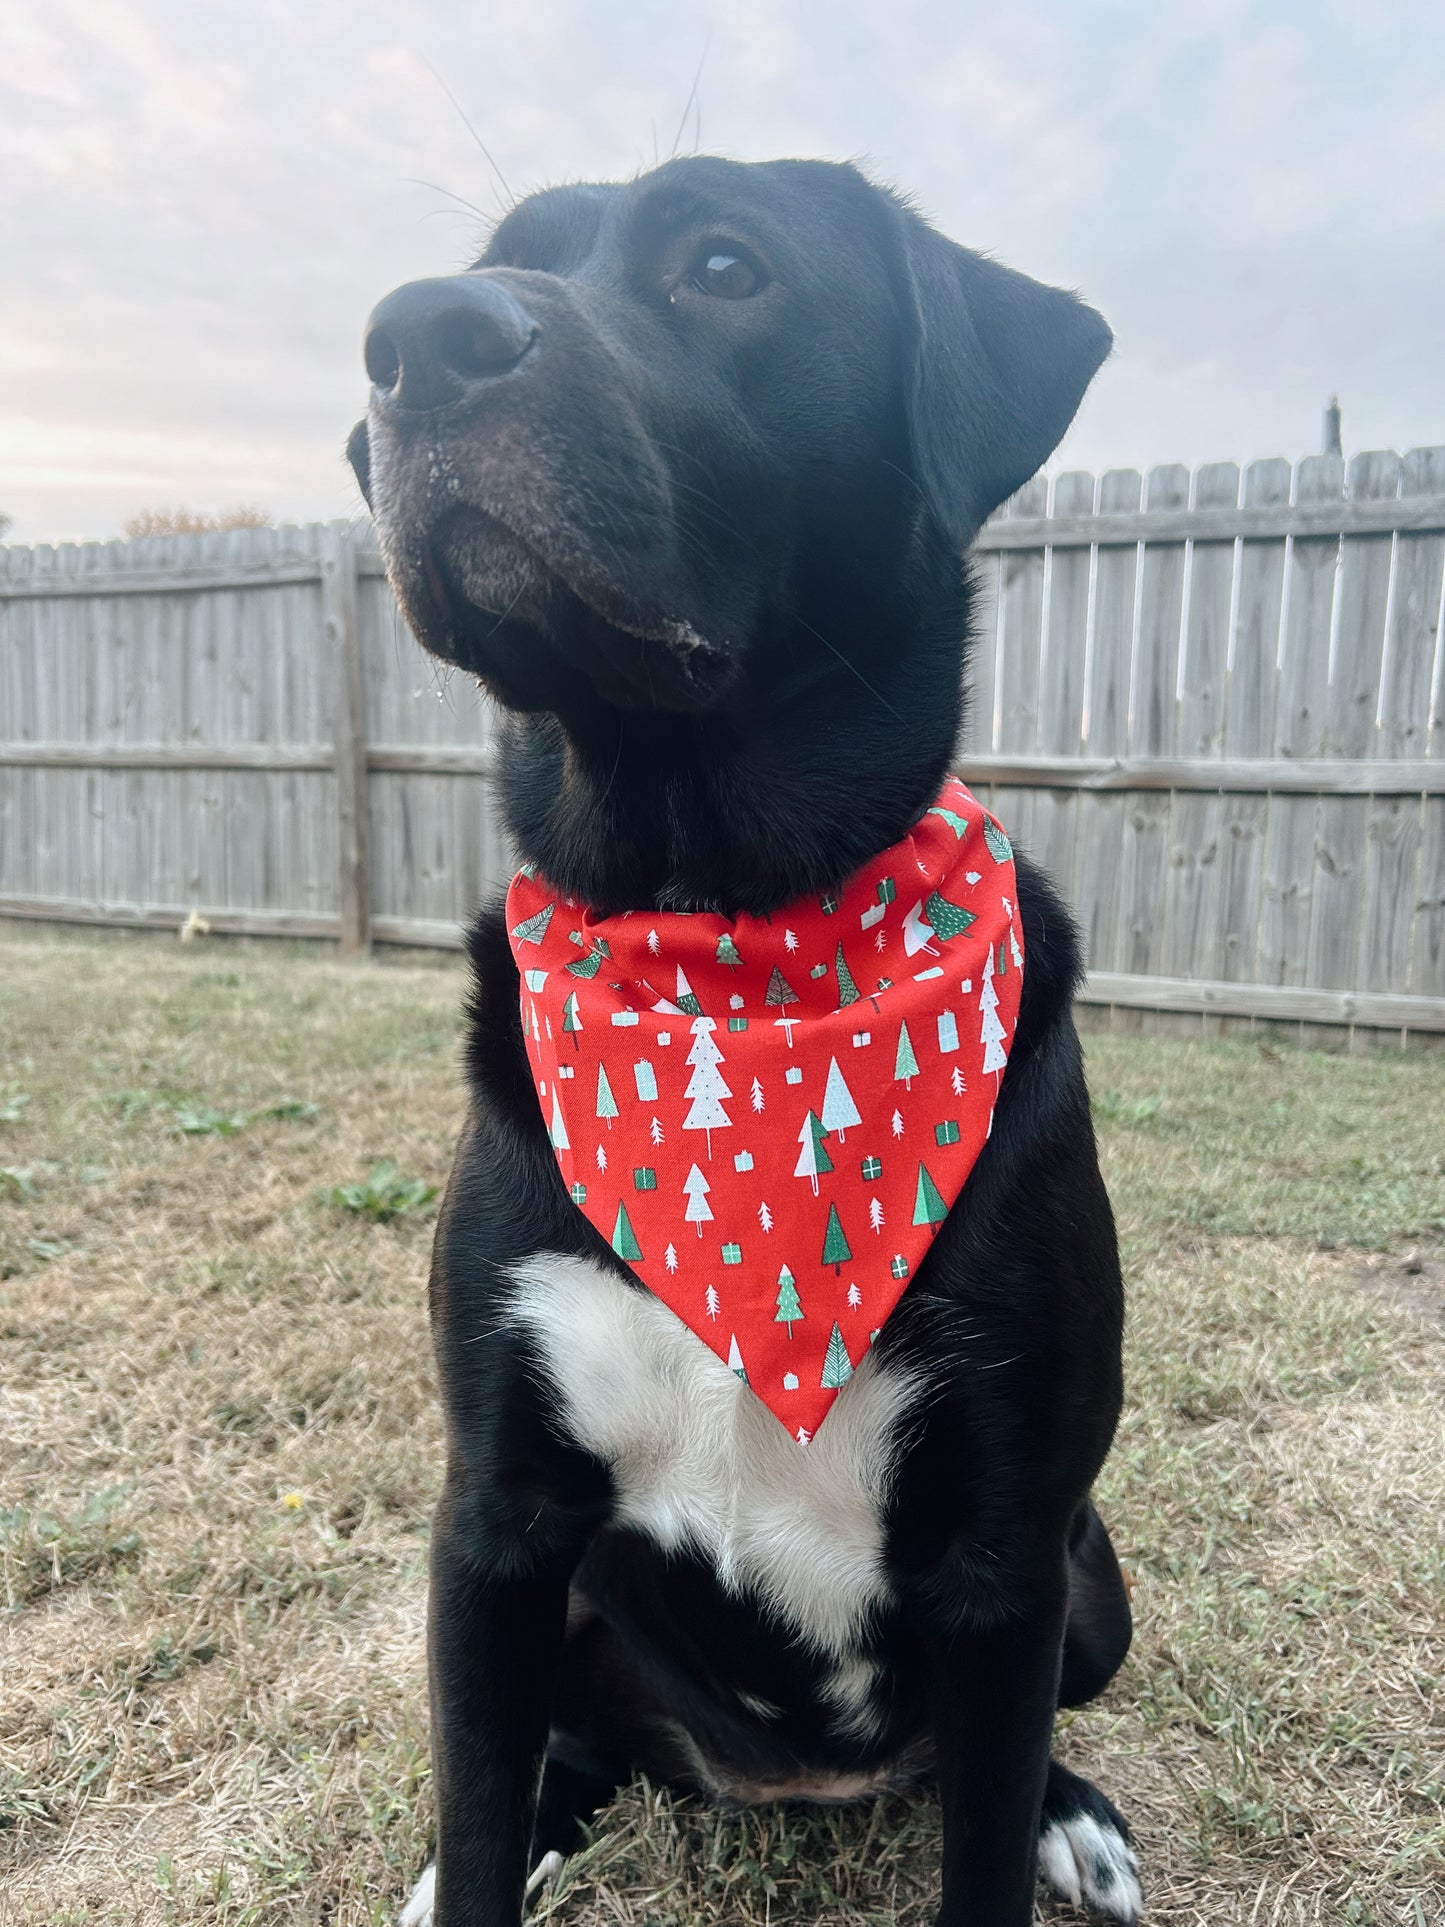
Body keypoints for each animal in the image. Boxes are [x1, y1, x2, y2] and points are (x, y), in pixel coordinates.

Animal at [354, 154, 1140, 1927]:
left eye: (725, 266)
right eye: (505, 256)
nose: (412, 337)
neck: (724, 942)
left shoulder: (1007, 1550)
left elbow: (982, 1838)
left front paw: (1036, 1821)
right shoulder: (492, 1524)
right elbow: (480, 1798)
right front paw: (483, 1851)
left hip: (1092, 1572)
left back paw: (1072, 1809)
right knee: (559, 1743)